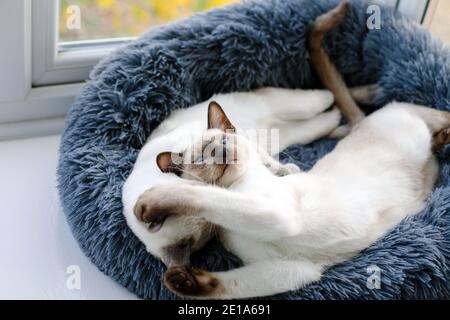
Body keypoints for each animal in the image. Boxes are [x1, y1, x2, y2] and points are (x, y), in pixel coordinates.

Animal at [132, 1, 450, 298]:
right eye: (201, 157)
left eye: (222, 143)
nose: (221, 153)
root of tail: (363, 122)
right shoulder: (295, 269)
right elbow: (226, 285)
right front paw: (181, 280)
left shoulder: (276, 214)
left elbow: (202, 196)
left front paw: (146, 205)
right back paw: (440, 142)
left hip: (409, 123)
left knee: (438, 113)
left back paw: (443, 134)